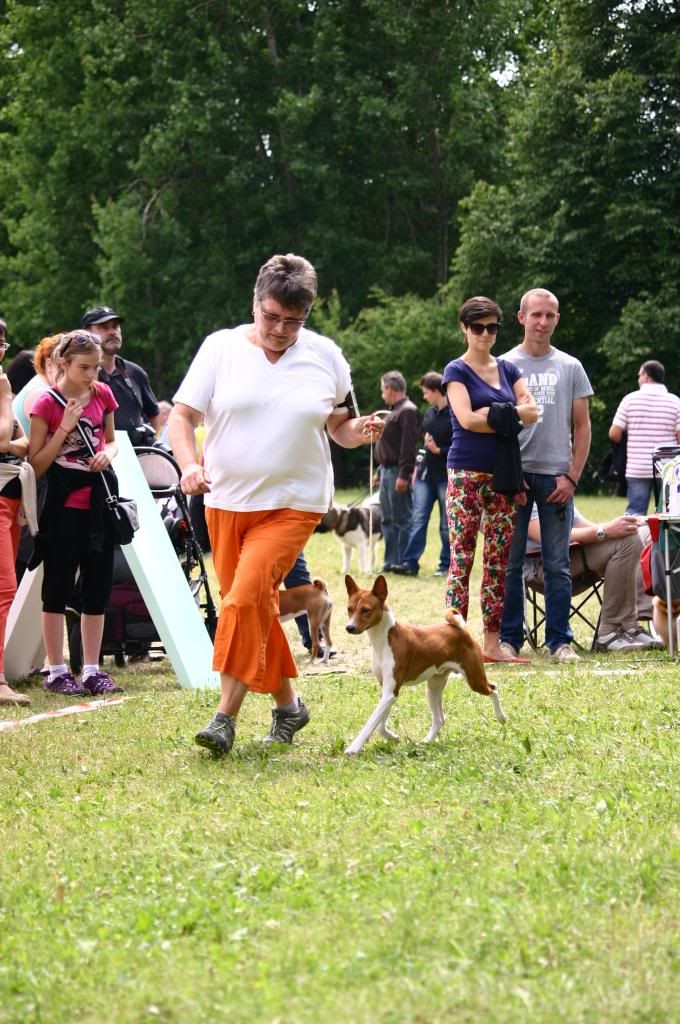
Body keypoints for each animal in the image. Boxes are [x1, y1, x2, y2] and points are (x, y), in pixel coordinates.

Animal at [343, 574, 507, 755]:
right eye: (349, 609)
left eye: (365, 610)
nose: (349, 627)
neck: (384, 639)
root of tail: (460, 630)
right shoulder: (386, 690)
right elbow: (379, 724)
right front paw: (393, 737)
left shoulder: (390, 691)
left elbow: (371, 723)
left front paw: (354, 747)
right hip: (434, 686)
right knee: (439, 719)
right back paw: (426, 742)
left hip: (474, 679)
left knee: (494, 689)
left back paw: (501, 717)